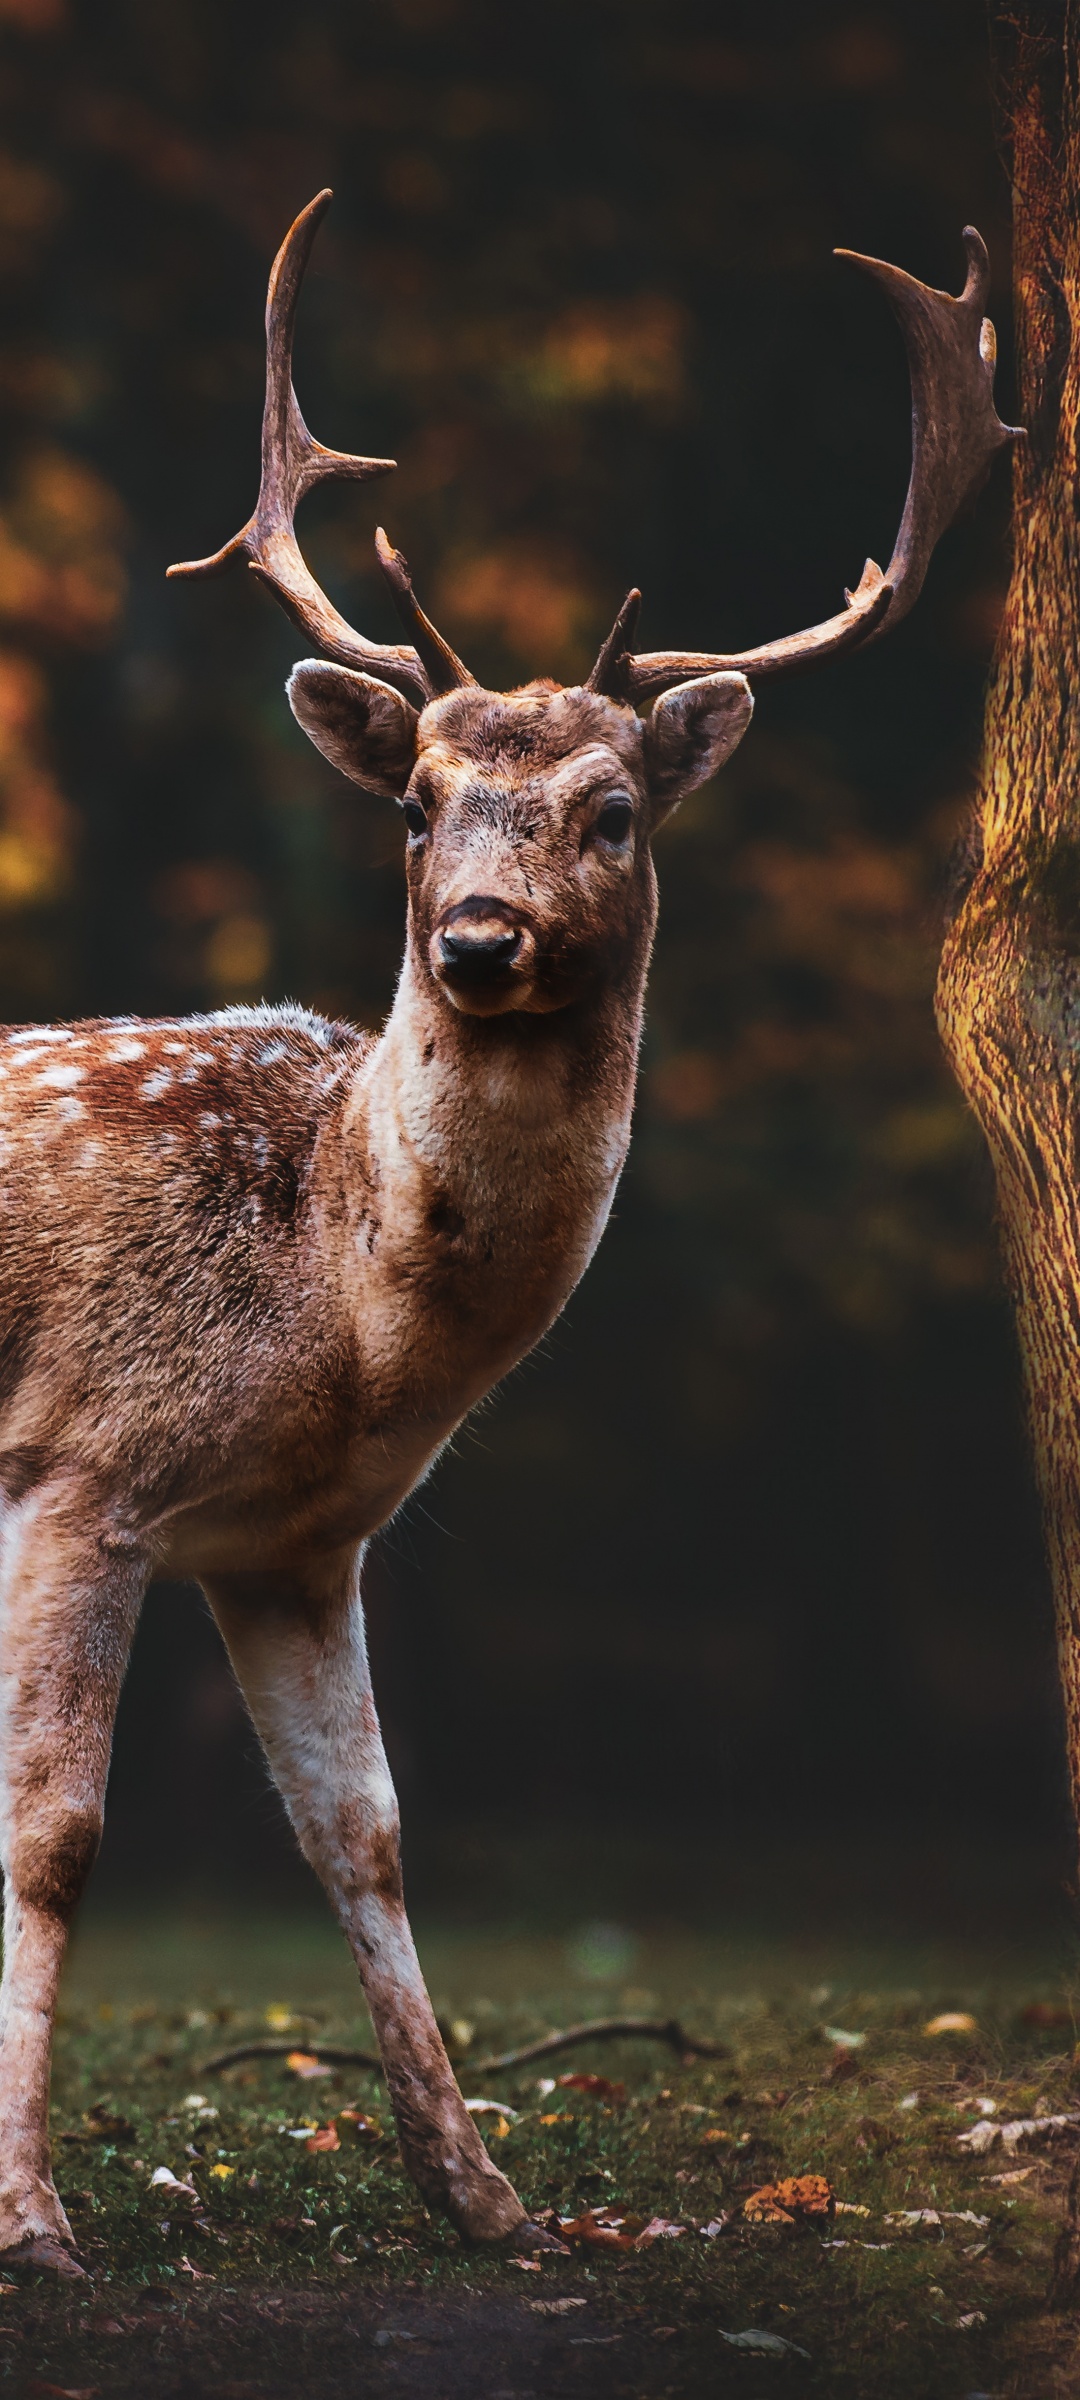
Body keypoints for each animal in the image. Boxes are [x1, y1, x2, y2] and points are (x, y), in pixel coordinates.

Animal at [0, 192, 1017, 2265]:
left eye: (614, 808)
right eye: (413, 803)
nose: (476, 938)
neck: (336, 1300)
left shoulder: (292, 1544)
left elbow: (370, 1838)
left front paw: (490, 2197)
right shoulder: (80, 1459)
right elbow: (54, 1840)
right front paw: (32, 2219)